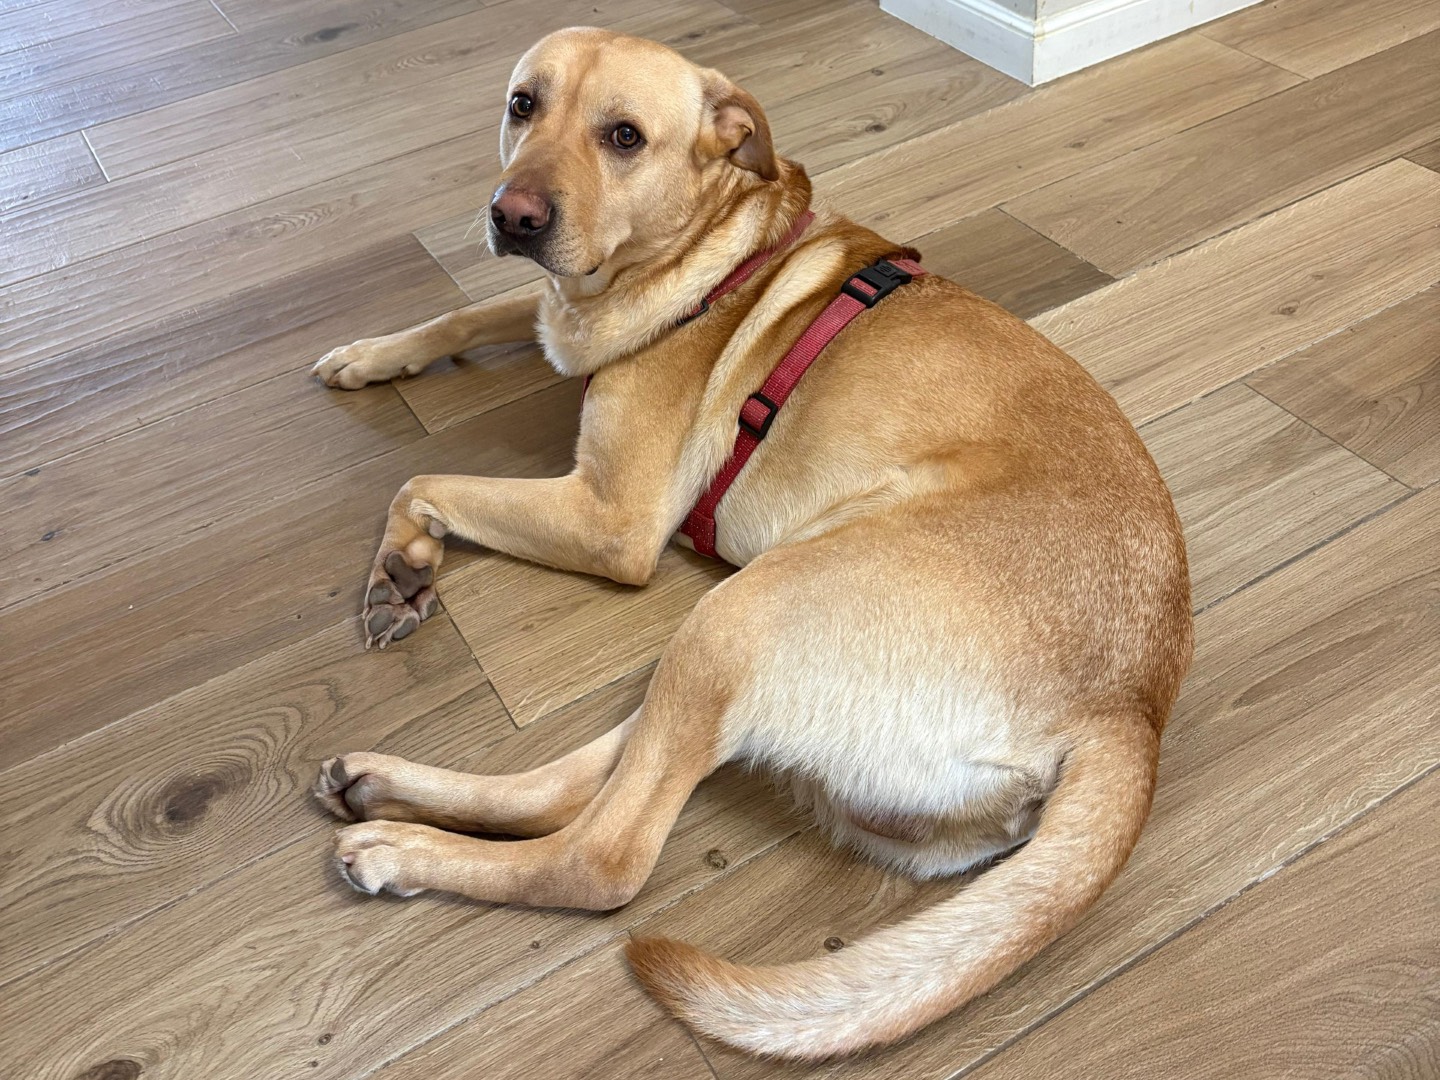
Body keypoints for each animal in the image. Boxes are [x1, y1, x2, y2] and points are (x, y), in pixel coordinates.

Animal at [309, 27, 1193, 1060]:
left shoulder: (610, 519)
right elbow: (472, 313)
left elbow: (421, 480)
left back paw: (401, 849)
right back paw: (380, 785)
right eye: (523, 105)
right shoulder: (554, 318)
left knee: (603, 855)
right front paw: (371, 354)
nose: (512, 215)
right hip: (741, 644)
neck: (715, 249)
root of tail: (1129, 712)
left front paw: (404, 559)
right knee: (572, 789)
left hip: (743, 612)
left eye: (624, 135)